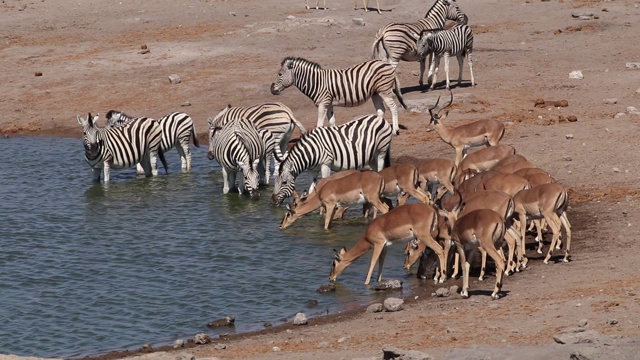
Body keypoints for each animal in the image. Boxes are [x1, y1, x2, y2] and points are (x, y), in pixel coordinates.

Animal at [268, 57, 404, 136]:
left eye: (280, 74)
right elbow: (332, 121)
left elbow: (319, 124)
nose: (271, 90)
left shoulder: (323, 103)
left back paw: (395, 131)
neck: (316, 82)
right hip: (375, 93)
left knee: (393, 107)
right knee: (381, 110)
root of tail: (387, 64)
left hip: (384, 90)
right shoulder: (329, 104)